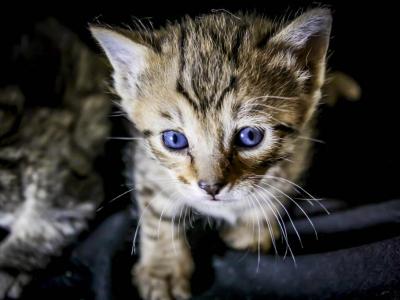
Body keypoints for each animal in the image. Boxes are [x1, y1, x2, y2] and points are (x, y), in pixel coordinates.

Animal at [92, 8, 332, 300]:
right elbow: (157, 213)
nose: (211, 187)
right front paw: (163, 269)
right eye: (174, 140)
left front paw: (254, 227)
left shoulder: (298, 152)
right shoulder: (147, 164)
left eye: (250, 136)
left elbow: (276, 191)